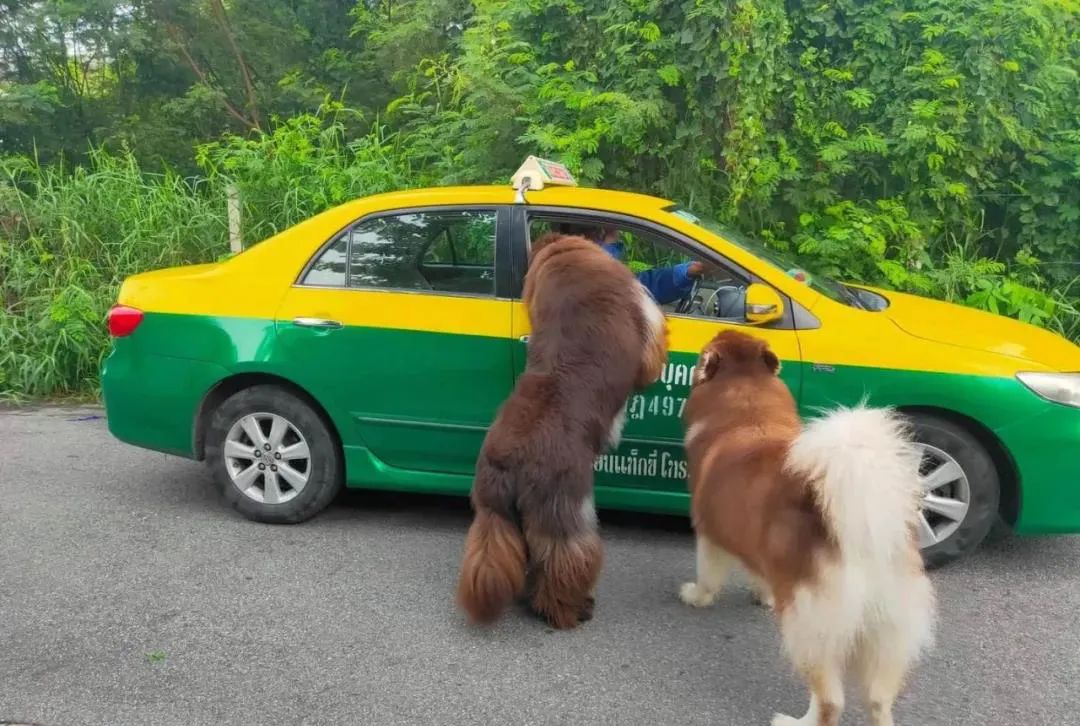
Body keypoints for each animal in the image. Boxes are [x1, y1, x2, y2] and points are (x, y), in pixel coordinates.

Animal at [453, 234, 665, 630]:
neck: (564, 257)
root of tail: (507, 462)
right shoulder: (642, 316)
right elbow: (652, 349)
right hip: (564, 506)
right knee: (565, 558)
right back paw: (569, 610)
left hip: (495, 513)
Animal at [678, 330, 933, 726]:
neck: (747, 408)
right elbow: (760, 574)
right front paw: (763, 595)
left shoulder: (709, 535)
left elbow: (708, 576)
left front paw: (696, 597)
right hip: (886, 633)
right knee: (878, 700)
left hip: (808, 627)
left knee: (830, 702)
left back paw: (794, 721)